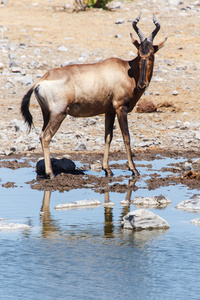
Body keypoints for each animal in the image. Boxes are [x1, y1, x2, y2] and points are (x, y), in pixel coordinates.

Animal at [21, 13, 166, 178]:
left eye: (151, 54)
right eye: (139, 53)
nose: (142, 84)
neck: (126, 69)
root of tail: (41, 80)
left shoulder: (109, 111)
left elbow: (108, 137)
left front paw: (107, 169)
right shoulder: (120, 108)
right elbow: (126, 137)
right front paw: (133, 169)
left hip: (47, 114)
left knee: (41, 135)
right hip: (59, 113)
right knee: (46, 136)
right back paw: (51, 173)